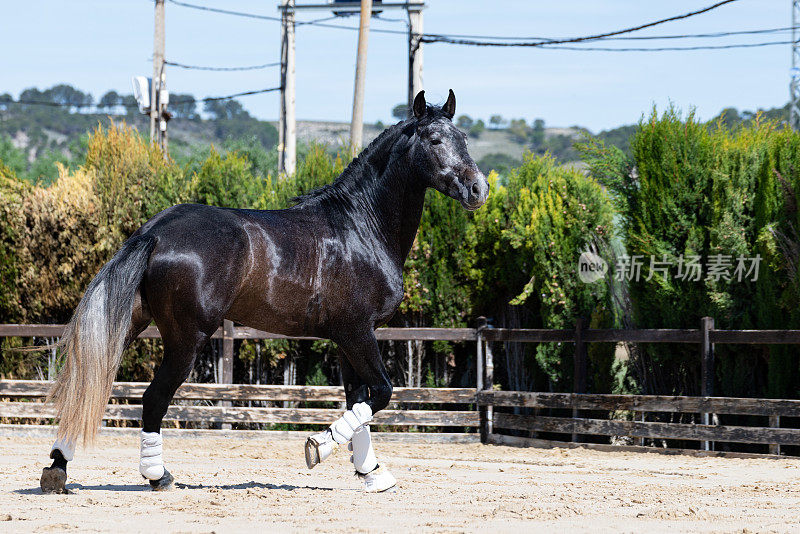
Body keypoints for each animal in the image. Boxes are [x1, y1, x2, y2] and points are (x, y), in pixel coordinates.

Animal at [42, 90, 488, 496]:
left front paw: (372, 473)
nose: (478, 189)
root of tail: (155, 232)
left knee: (92, 385)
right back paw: (158, 476)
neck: (361, 228)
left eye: (464, 137)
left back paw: (57, 469)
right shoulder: (358, 332)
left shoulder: (348, 339)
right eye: (434, 139)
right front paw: (317, 448)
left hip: (134, 322)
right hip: (187, 339)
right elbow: (380, 393)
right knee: (152, 400)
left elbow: (358, 401)